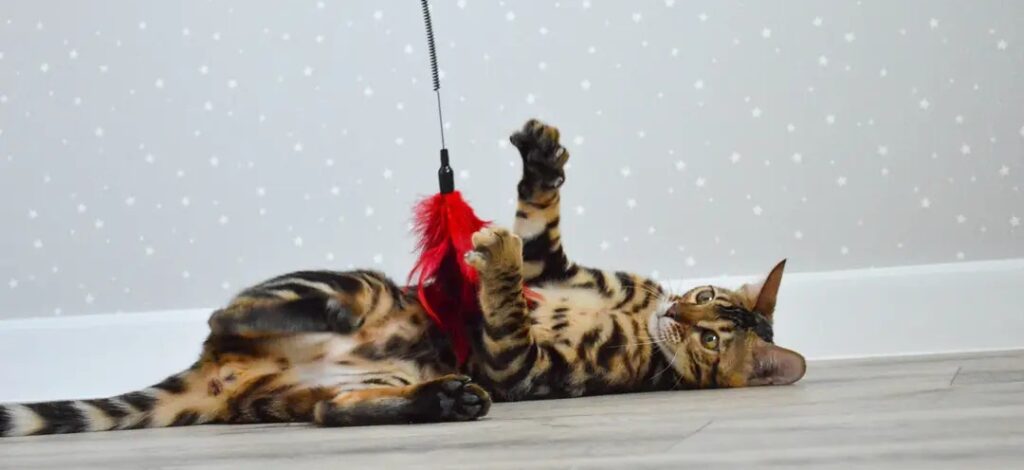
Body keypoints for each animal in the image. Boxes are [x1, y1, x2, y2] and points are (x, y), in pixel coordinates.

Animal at [0, 119, 806, 440]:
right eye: (705, 299)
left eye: (710, 339)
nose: (674, 315)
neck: (639, 323)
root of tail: (218, 379)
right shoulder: (557, 268)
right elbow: (539, 219)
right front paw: (539, 160)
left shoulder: (518, 366)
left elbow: (507, 304)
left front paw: (492, 259)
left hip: (363, 321)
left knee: (280, 360)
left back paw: (436, 389)